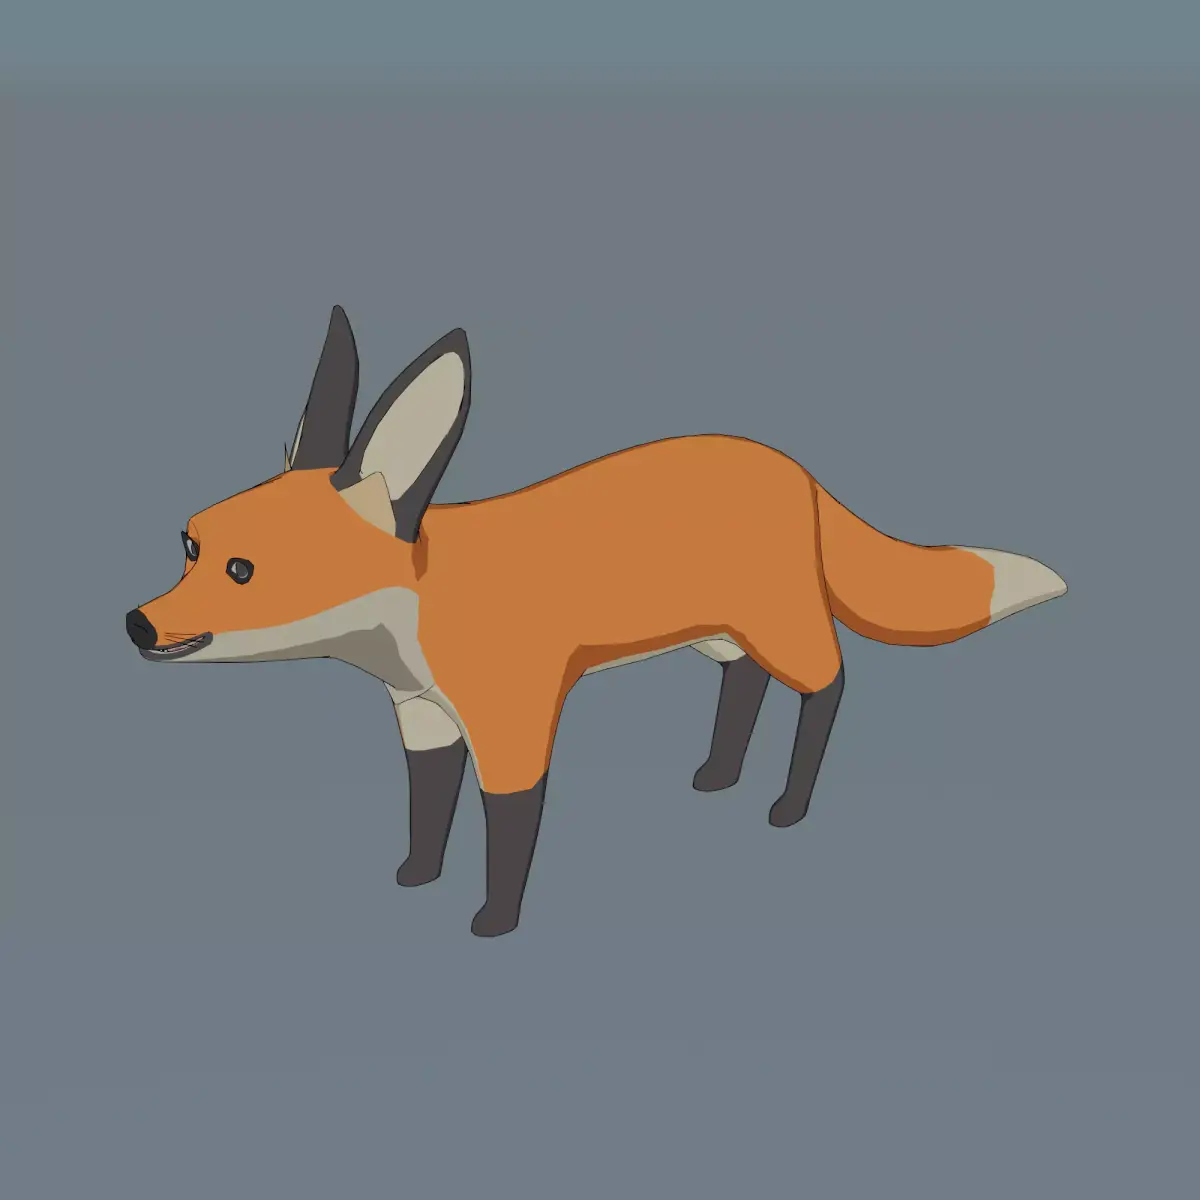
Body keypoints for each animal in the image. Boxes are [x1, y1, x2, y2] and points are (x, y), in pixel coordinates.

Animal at [126, 306, 1067, 937]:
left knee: (830, 687)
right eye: (190, 546)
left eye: (244, 572)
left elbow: (509, 833)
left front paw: (495, 921)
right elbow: (427, 809)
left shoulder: (513, 727)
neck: (420, 614)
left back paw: (788, 806)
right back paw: (717, 775)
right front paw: (415, 876)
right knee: (744, 685)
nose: (137, 624)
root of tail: (793, 465)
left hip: (784, 627)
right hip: (723, 633)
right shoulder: (424, 716)